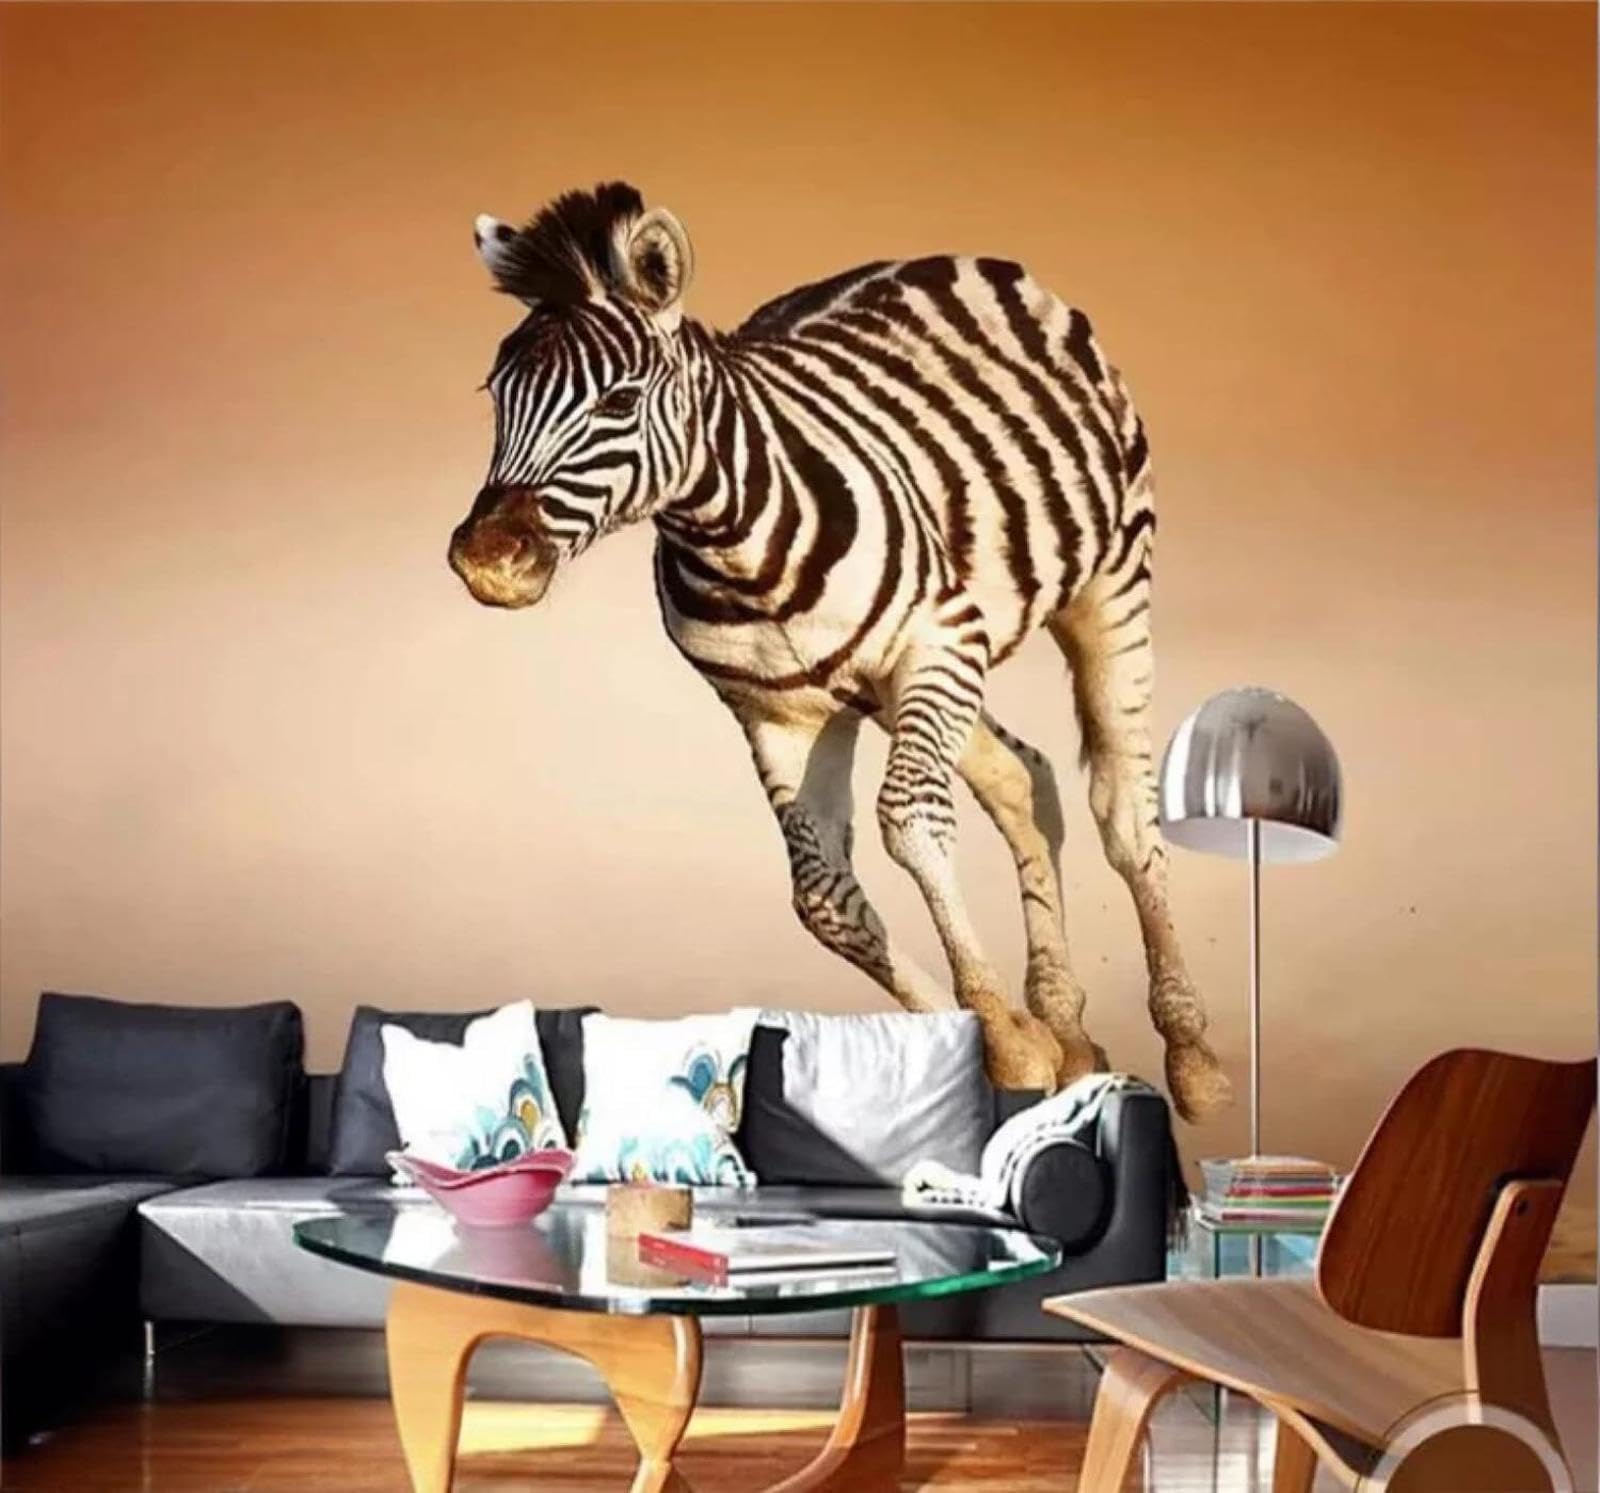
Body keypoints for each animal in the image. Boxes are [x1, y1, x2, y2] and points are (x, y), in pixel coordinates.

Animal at [448, 182, 1229, 1120]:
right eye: (496, 394)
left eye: (619, 403)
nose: (485, 561)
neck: (735, 547)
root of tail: (941, 257)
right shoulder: (775, 711)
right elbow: (824, 899)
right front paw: (1009, 1039)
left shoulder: (935, 641)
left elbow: (911, 821)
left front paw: (1004, 1033)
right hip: (904, 683)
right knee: (1024, 778)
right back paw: (1069, 1029)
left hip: (1099, 588)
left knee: (1124, 809)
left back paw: (1190, 1052)